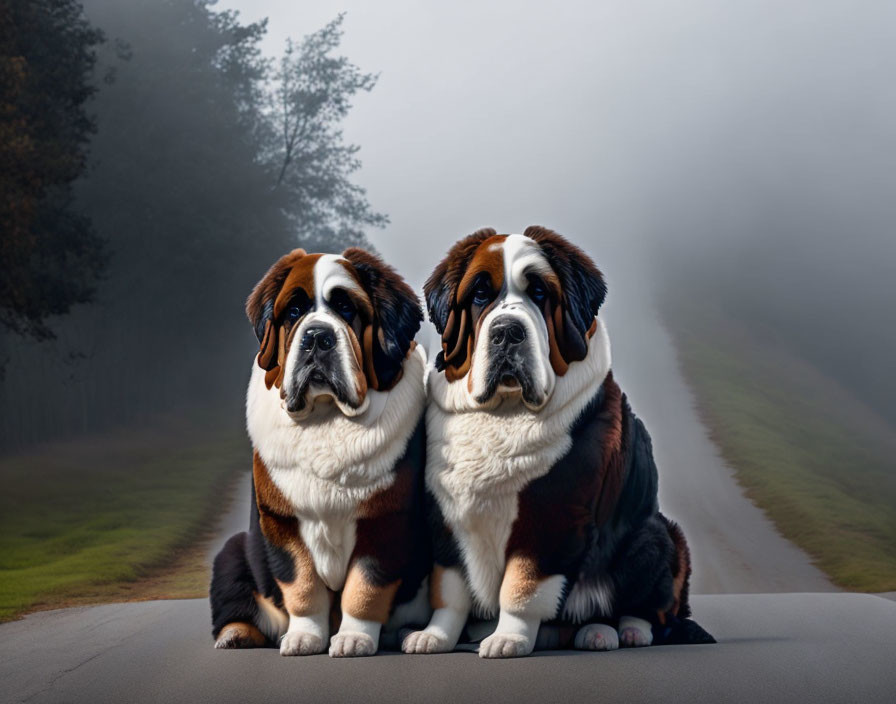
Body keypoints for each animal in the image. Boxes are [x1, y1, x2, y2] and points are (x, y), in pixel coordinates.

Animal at [212, 246, 432, 656]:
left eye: (347, 309)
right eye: (294, 312)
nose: (317, 335)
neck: (327, 418)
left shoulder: (384, 519)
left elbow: (365, 587)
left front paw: (354, 638)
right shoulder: (281, 521)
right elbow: (303, 585)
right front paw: (305, 637)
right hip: (232, 553)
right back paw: (235, 633)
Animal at [404, 227, 712, 660]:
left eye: (539, 293)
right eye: (480, 295)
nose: (507, 331)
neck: (505, 412)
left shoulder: (551, 514)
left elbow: (523, 585)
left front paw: (509, 639)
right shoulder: (445, 516)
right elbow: (450, 589)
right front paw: (435, 636)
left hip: (654, 533)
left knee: (647, 604)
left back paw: (615, 631)